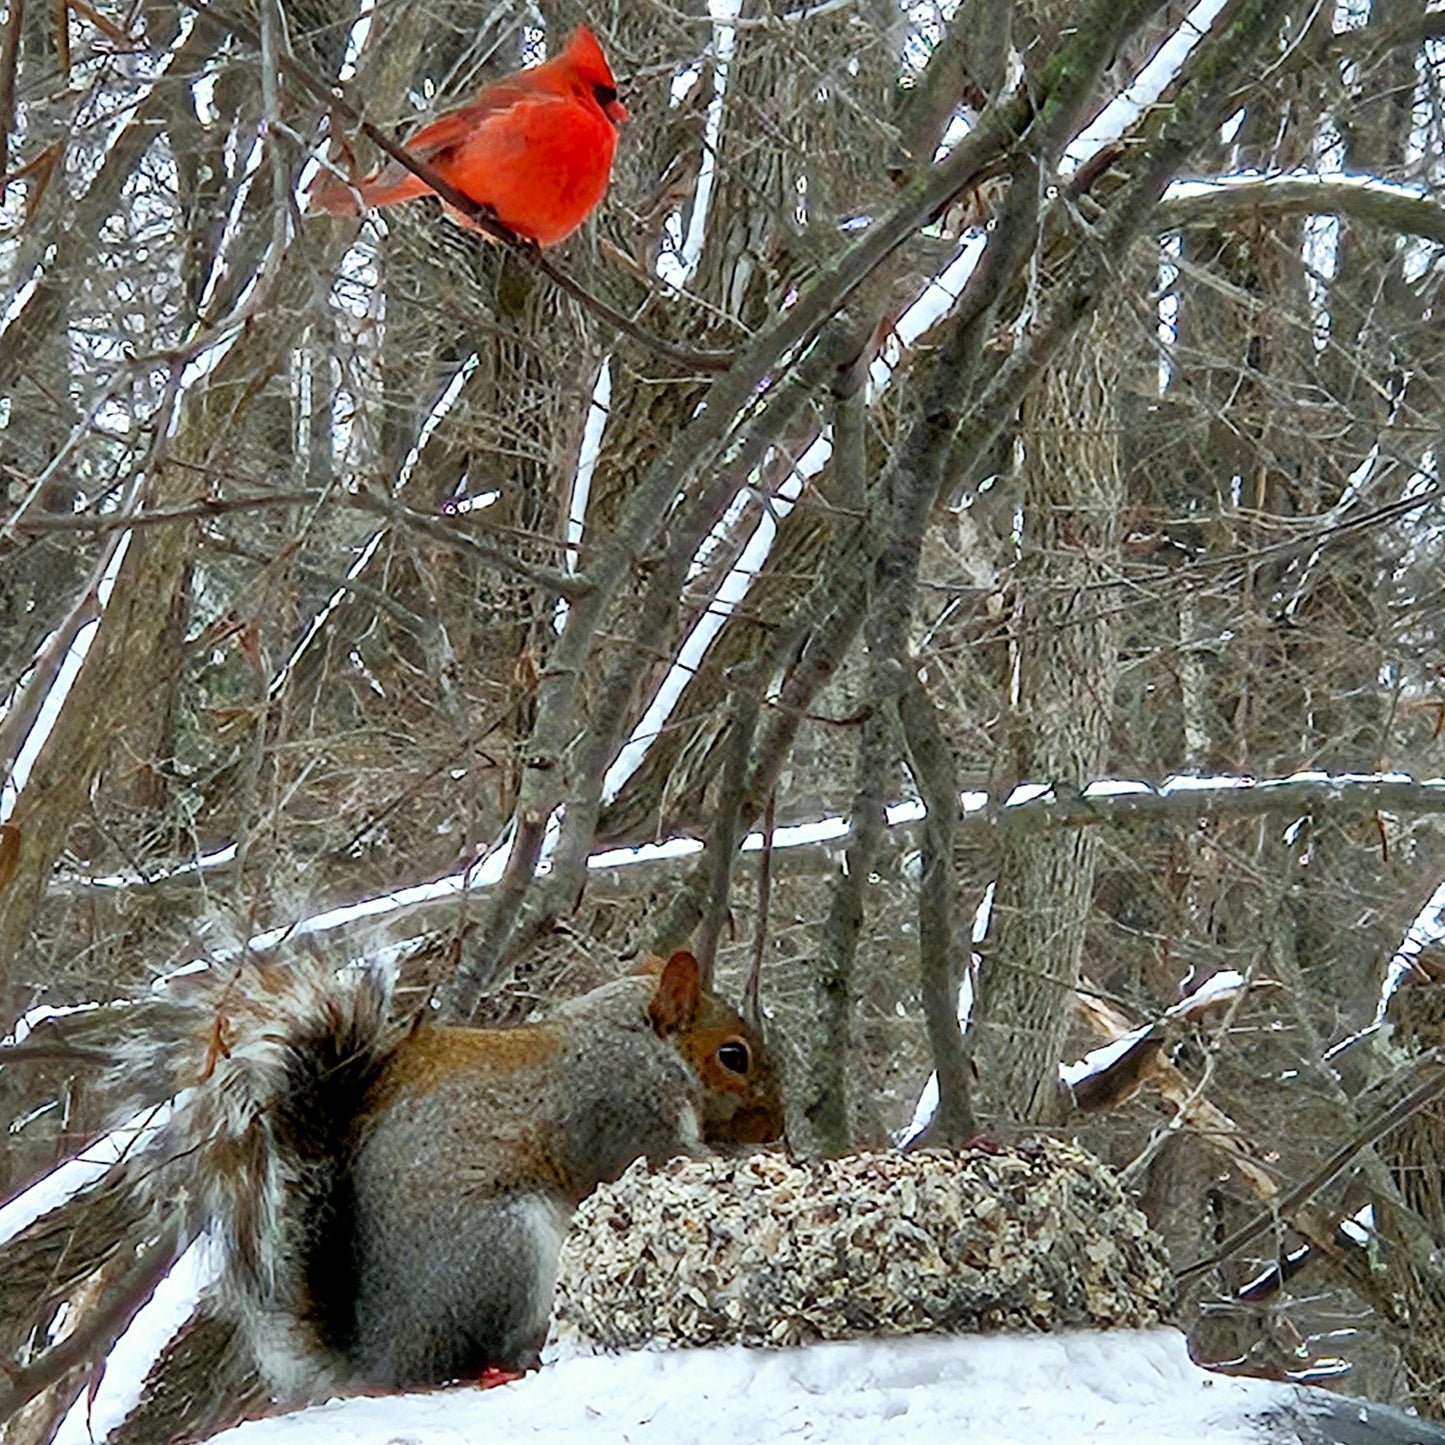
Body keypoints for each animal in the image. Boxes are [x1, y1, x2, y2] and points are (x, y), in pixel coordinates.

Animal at [0, 942, 786, 1427]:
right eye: (734, 1055)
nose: (777, 1125)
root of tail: (384, 1354)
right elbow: (642, 1159)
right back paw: (508, 1362)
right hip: (505, 1247)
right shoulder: (616, 1110)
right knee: (476, 1358)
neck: (638, 1039)